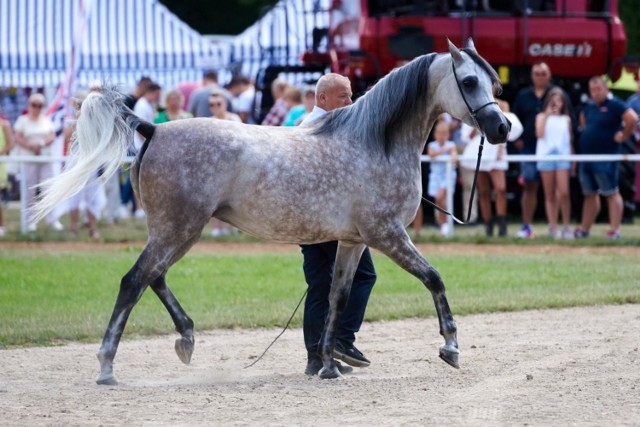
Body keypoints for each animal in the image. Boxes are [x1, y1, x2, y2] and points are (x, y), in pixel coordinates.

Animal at [37, 38, 510, 382]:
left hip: (177, 231)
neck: (375, 143)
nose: (502, 127)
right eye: (469, 82)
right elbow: (434, 278)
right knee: (134, 282)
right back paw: (107, 367)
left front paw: (329, 364)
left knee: (154, 278)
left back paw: (186, 338)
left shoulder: (353, 242)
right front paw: (450, 346)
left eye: (495, 84)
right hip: (178, 229)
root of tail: (152, 127)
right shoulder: (388, 235)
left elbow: (336, 299)